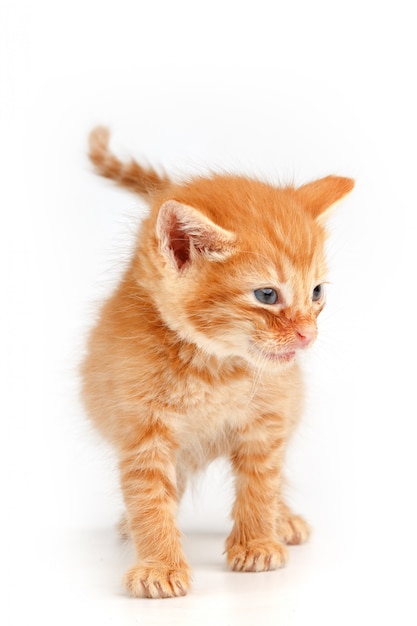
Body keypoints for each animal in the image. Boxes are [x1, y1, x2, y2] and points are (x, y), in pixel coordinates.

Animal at [82, 128, 354, 600]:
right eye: (267, 295)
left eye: (317, 292)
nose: (307, 334)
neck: (214, 366)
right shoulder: (141, 431)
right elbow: (149, 497)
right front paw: (158, 563)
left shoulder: (269, 418)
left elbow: (260, 482)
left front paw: (258, 542)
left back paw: (282, 517)